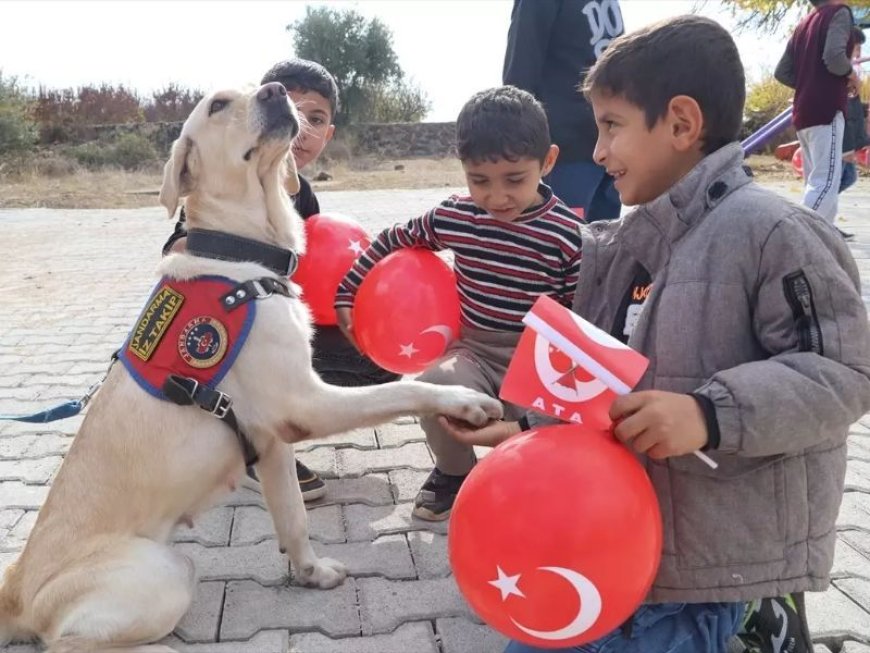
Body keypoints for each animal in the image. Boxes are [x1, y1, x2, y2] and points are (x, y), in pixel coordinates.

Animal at [1, 83, 504, 652]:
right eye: (218, 105)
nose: (277, 90)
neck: (241, 256)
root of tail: (14, 588)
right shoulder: (306, 403)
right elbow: (403, 390)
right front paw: (464, 400)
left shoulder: (272, 443)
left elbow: (294, 518)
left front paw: (311, 573)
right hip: (167, 571)